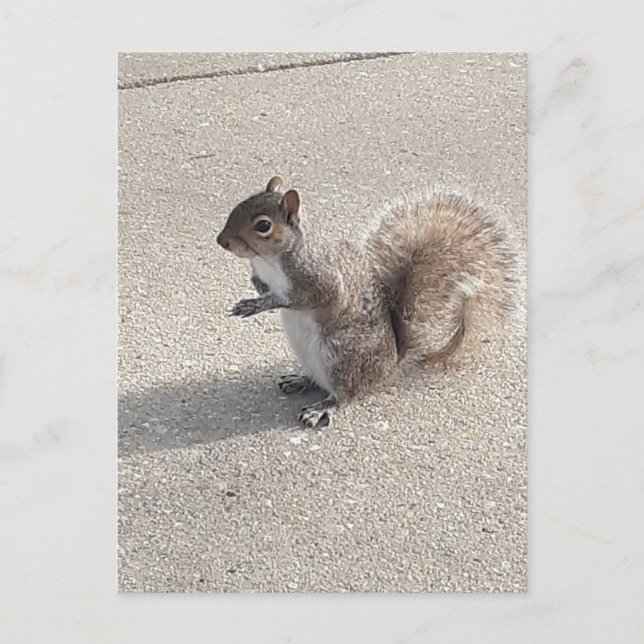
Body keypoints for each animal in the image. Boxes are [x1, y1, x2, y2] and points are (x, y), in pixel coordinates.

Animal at [216, 176, 517, 429]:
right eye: (238, 205)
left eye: (263, 225)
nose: (221, 241)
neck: (269, 260)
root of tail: (389, 366)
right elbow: (260, 282)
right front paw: (257, 289)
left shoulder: (320, 278)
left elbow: (308, 297)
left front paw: (259, 304)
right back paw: (300, 380)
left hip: (340, 356)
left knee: (346, 393)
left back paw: (323, 407)